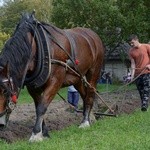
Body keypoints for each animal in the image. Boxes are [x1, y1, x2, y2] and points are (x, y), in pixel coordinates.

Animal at [0, 12, 104, 142]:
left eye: (5, 91)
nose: (0, 124)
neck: (36, 46)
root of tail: (93, 35)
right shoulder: (33, 87)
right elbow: (38, 107)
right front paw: (44, 133)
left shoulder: (55, 81)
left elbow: (42, 107)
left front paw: (35, 135)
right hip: (77, 78)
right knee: (85, 96)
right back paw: (91, 117)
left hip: (94, 72)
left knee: (90, 94)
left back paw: (85, 122)